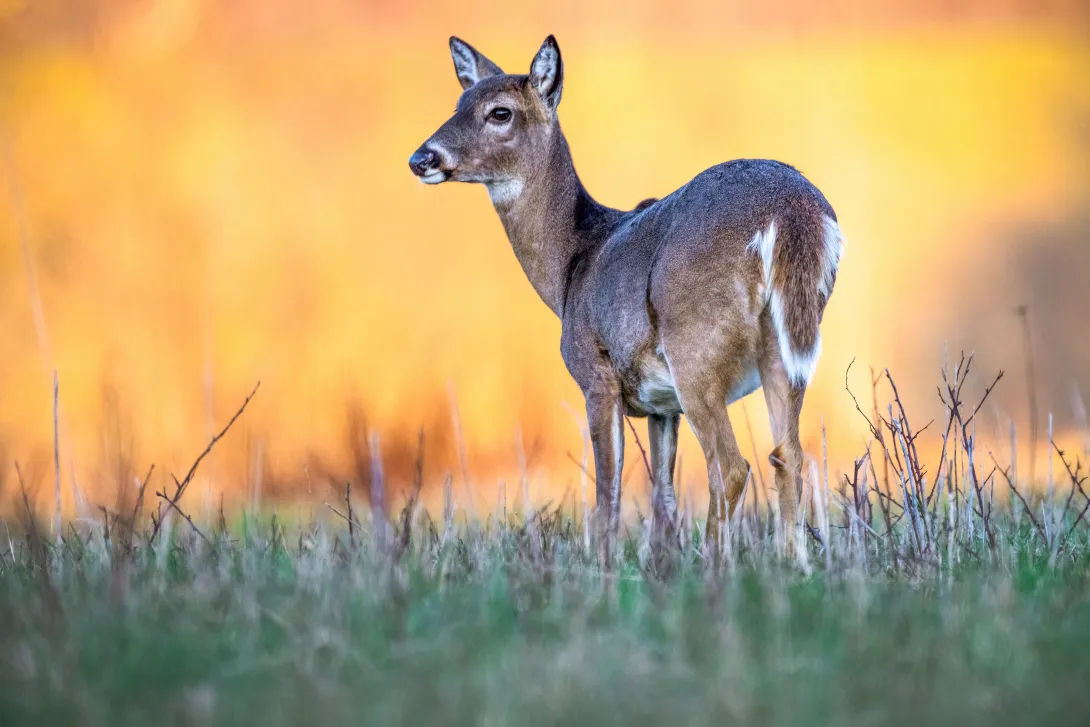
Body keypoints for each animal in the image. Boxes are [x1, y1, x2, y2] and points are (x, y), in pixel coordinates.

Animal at [408, 35, 844, 562]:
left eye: (500, 112)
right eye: (459, 103)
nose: (421, 158)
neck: (572, 265)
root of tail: (792, 210)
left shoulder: (596, 375)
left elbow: (607, 495)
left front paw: (603, 567)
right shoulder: (661, 406)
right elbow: (662, 497)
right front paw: (660, 564)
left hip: (695, 344)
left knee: (732, 465)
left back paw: (716, 565)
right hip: (787, 344)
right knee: (788, 455)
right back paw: (792, 564)